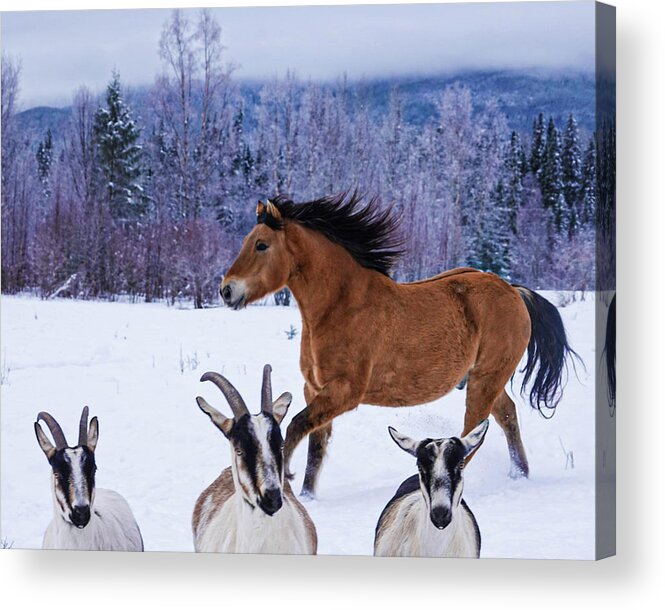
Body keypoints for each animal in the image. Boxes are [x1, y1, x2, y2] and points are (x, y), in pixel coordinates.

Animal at [218, 192, 576, 496]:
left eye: (261, 245)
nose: (226, 290)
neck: (342, 306)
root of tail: (513, 290)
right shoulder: (315, 389)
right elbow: (316, 449)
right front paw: (307, 495)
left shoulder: (345, 392)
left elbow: (295, 426)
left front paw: (285, 477)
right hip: (486, 379)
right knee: (507, 417)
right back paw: (520, 474)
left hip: (485, 381)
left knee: (473, 433)